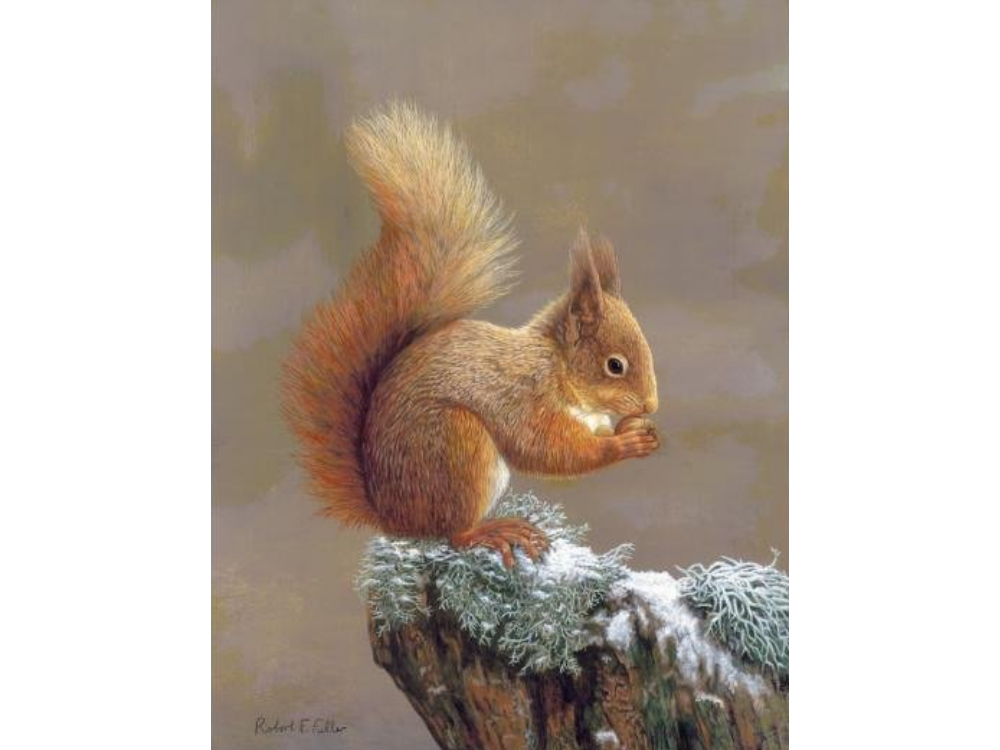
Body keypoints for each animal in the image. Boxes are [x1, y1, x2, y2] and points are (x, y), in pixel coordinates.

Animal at [282, 102, 660, 568]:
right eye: (615, 365)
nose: (651, 405)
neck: (555, 366)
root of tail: (393, 517)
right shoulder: (521, 396)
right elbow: (546, 449)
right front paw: (624, 444)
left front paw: (637, 430)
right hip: (457, 447)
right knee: (453, 532)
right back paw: (494, 531)